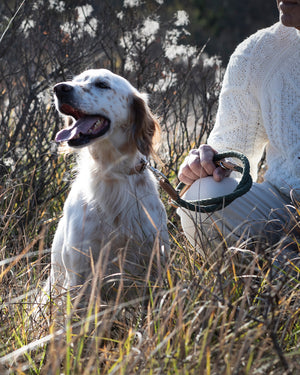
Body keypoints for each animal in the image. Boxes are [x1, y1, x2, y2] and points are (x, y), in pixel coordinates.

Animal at [50, 70, 170, 306]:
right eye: (75, 80)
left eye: (102, 84)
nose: (60, 88)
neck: (111, 173)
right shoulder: (79, 272)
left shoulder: (154, 263)